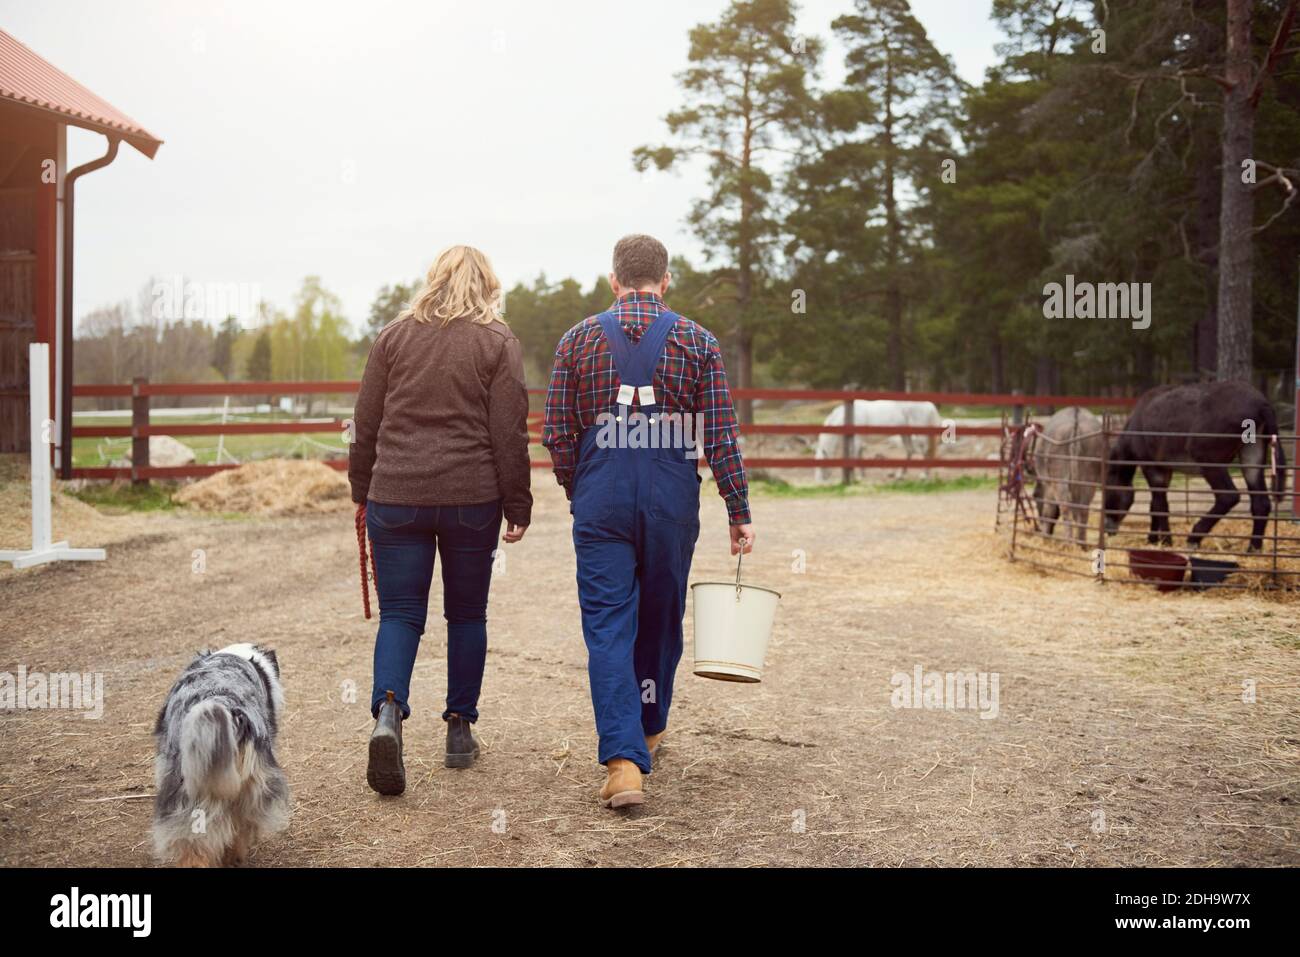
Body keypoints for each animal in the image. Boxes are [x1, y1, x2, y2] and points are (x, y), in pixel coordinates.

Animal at [1102, 377, 1284, 548]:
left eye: (1107, 492)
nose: (1107, 530)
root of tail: (1261, 403)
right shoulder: (1165, 470)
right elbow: (1155, 505)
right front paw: (1154, 539)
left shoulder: (1152, 467)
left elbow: (1160, 505)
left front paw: (1166, 541)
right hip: (1252, 453)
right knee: (1261, 503)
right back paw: (1253, 548)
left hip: (1209, 461)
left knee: (1228, 497)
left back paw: (1194, 537)